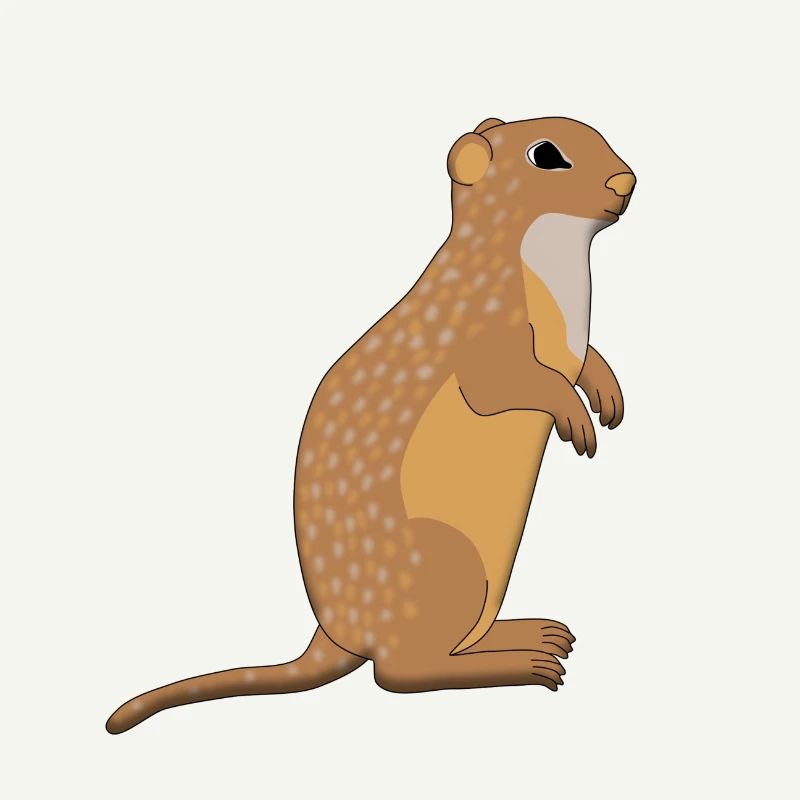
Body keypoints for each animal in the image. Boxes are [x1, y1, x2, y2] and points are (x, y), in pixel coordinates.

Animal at [107, 116, 635, 733]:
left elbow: (585, 359)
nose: (626, 180)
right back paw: (521, 663)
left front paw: (607, 393)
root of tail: (336, 634)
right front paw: (576, 418)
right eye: (546, 155)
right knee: (400, 673)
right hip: (450, 563)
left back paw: (532, 634)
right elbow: (507, 385)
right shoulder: (487, 333)